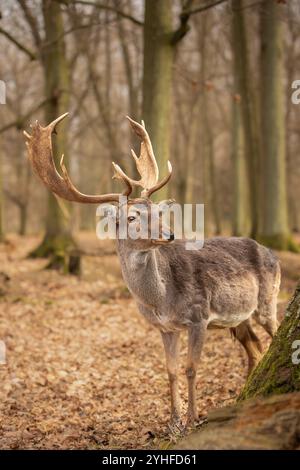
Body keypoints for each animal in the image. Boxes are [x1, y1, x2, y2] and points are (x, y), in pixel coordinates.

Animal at [23, 114, 282, 430]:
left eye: (158, 212)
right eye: (132, 217)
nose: (169, 234)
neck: (161, 299)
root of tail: (272, 253)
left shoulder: (199, 315)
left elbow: (191, 368)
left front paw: (192, 419)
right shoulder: (165, 328)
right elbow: (170, 371)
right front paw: (173, 420)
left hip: (268, 299)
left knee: (274, 333)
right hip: (239, 317)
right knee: (255, 348)